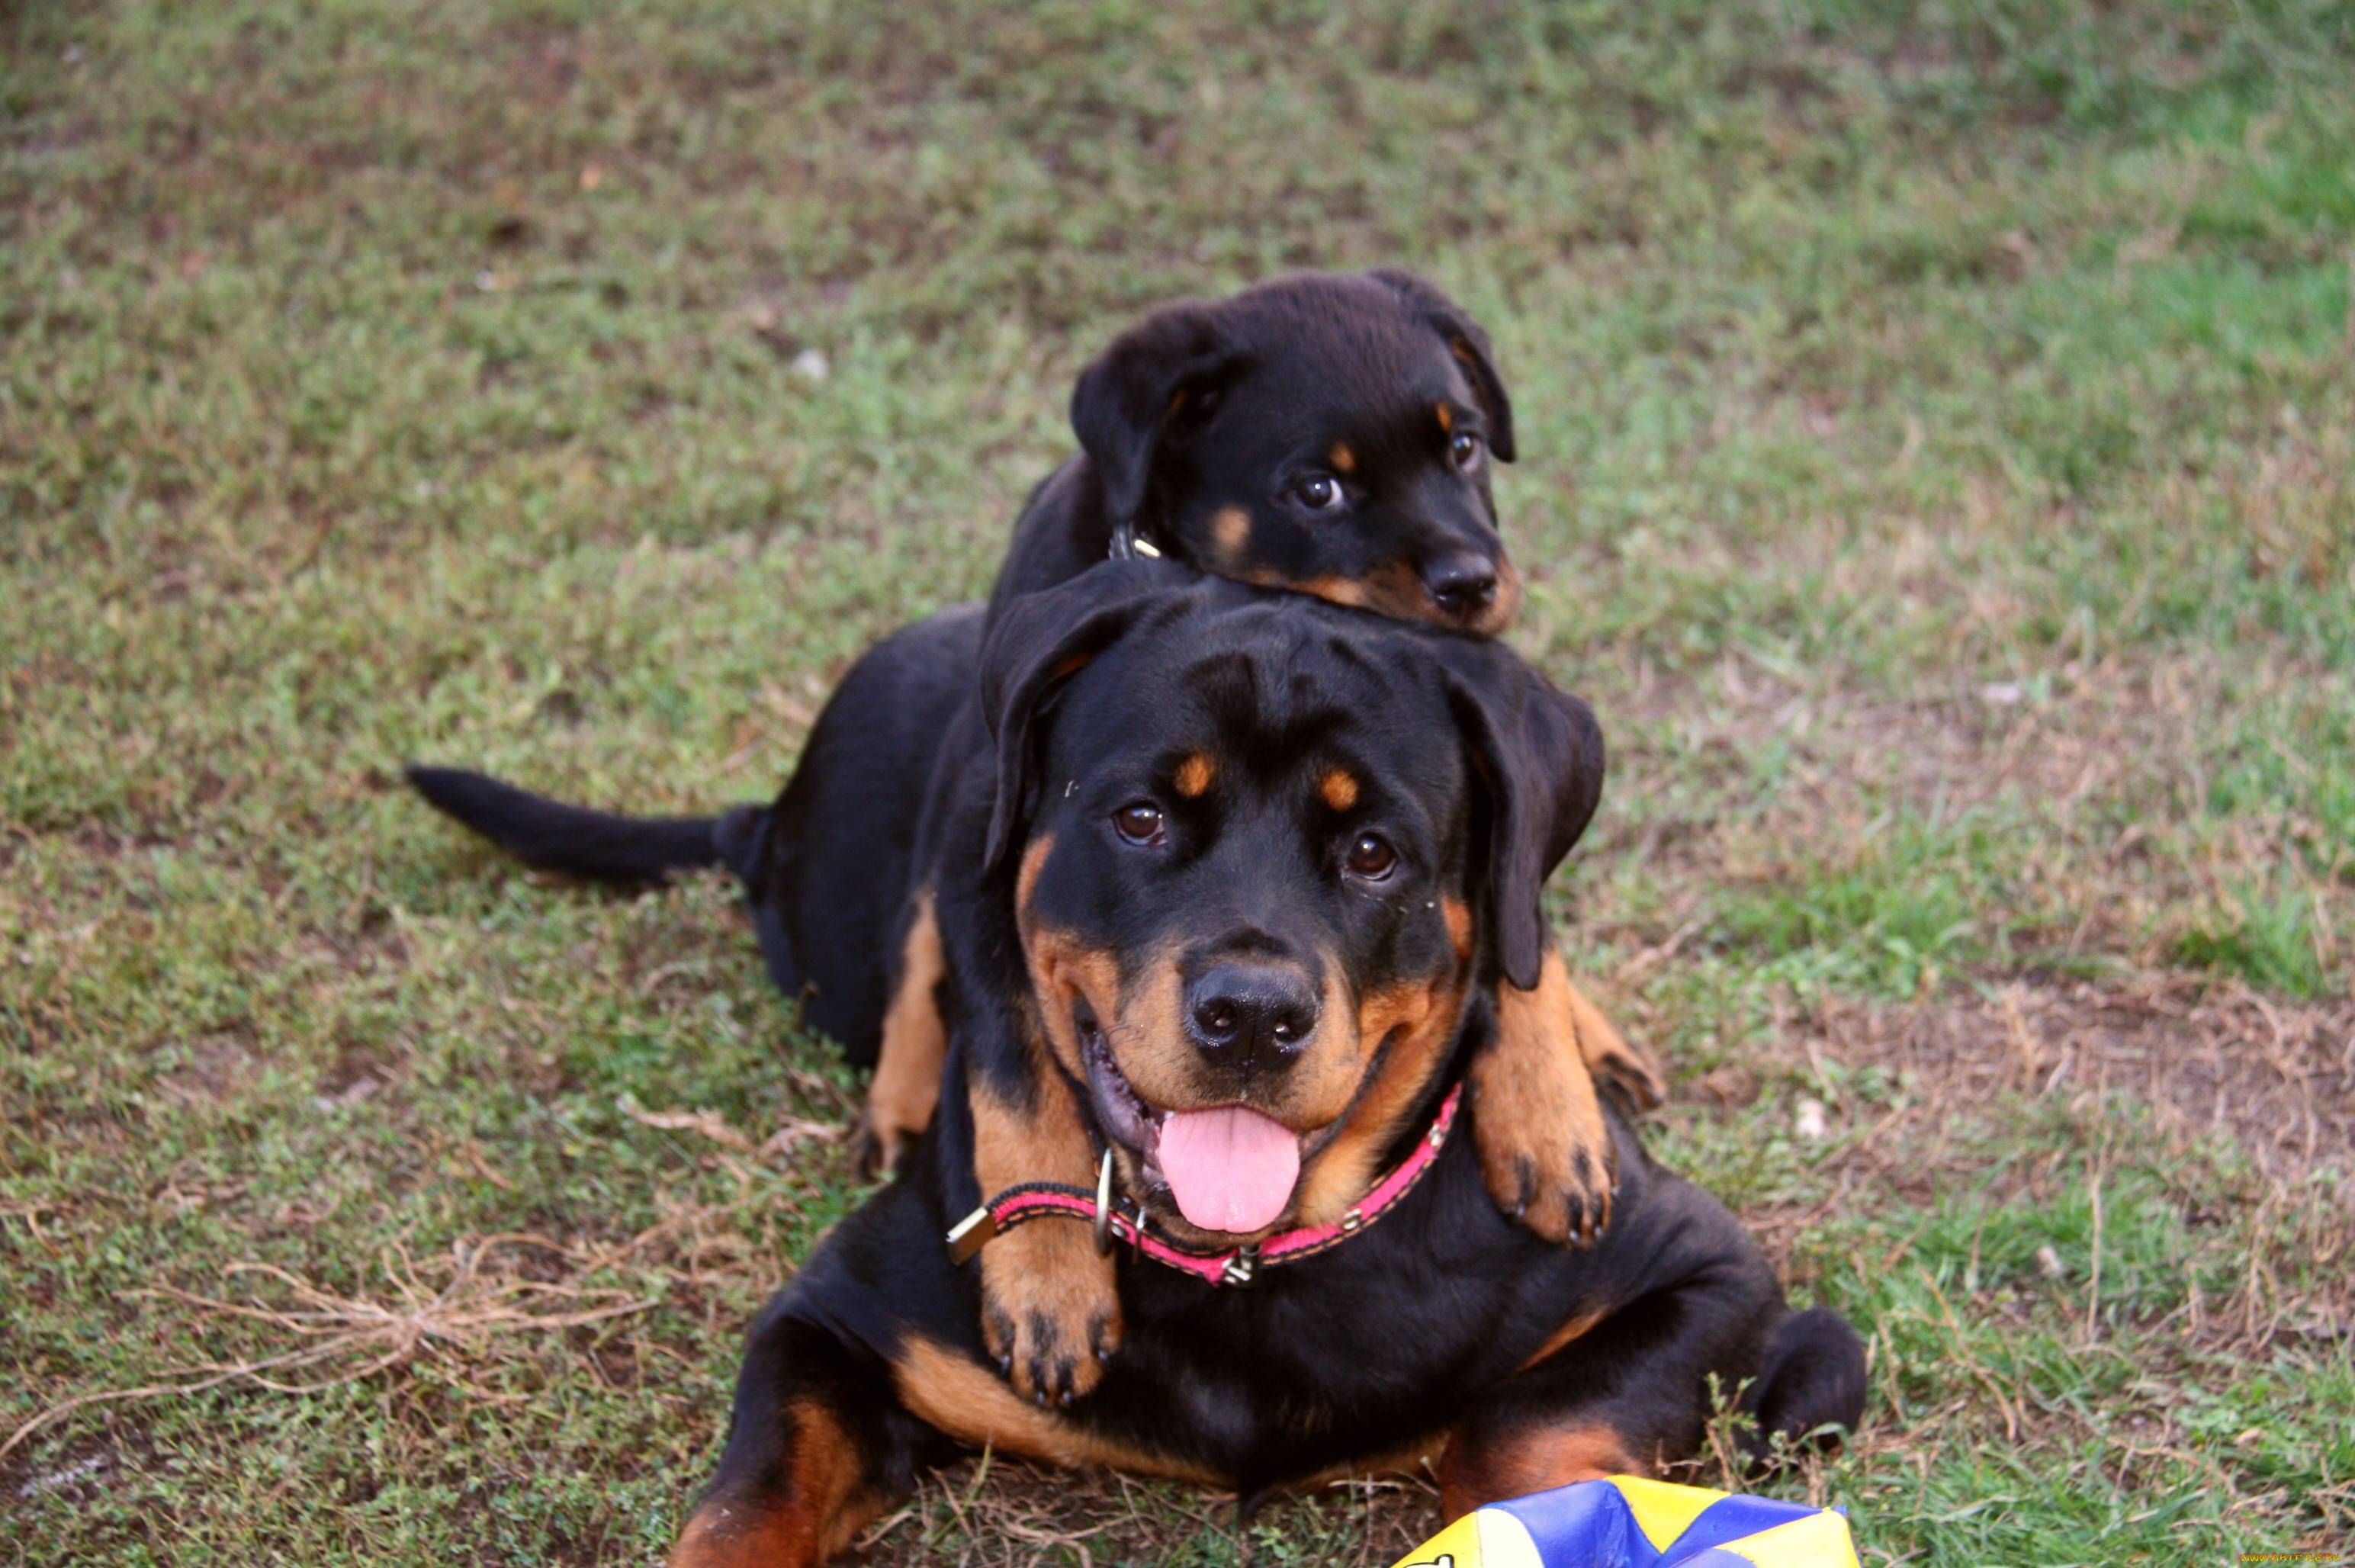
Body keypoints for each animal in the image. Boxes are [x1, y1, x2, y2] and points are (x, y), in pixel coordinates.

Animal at [414, 562, 1865, 1563]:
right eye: (1143, 817)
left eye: (1374, 852)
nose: (1253, 1013)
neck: (1245, 1270)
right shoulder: (832, 1322)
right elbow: (745, 1505)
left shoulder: (1703, 1272)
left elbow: (1515, 1428)